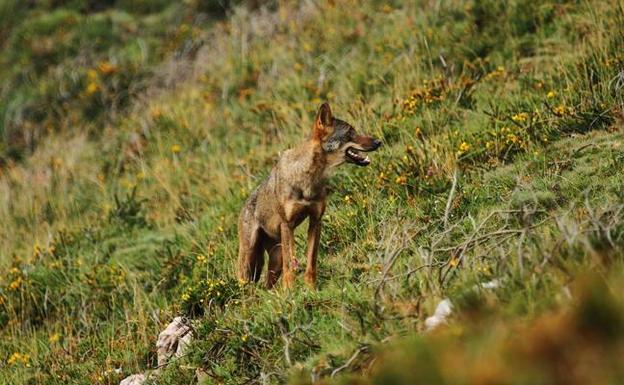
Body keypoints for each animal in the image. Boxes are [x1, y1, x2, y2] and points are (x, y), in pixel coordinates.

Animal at [236, 102, 378, 288]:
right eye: (350, 132)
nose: (378, 142)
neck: (308, 178)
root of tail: (244, 205)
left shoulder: (316, 221)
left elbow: (311, 262)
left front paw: (311, 289)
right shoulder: (288, 225)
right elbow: (291, 266)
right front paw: (290, 291)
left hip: (275, 260)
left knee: (267, 286)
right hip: (249, 260)